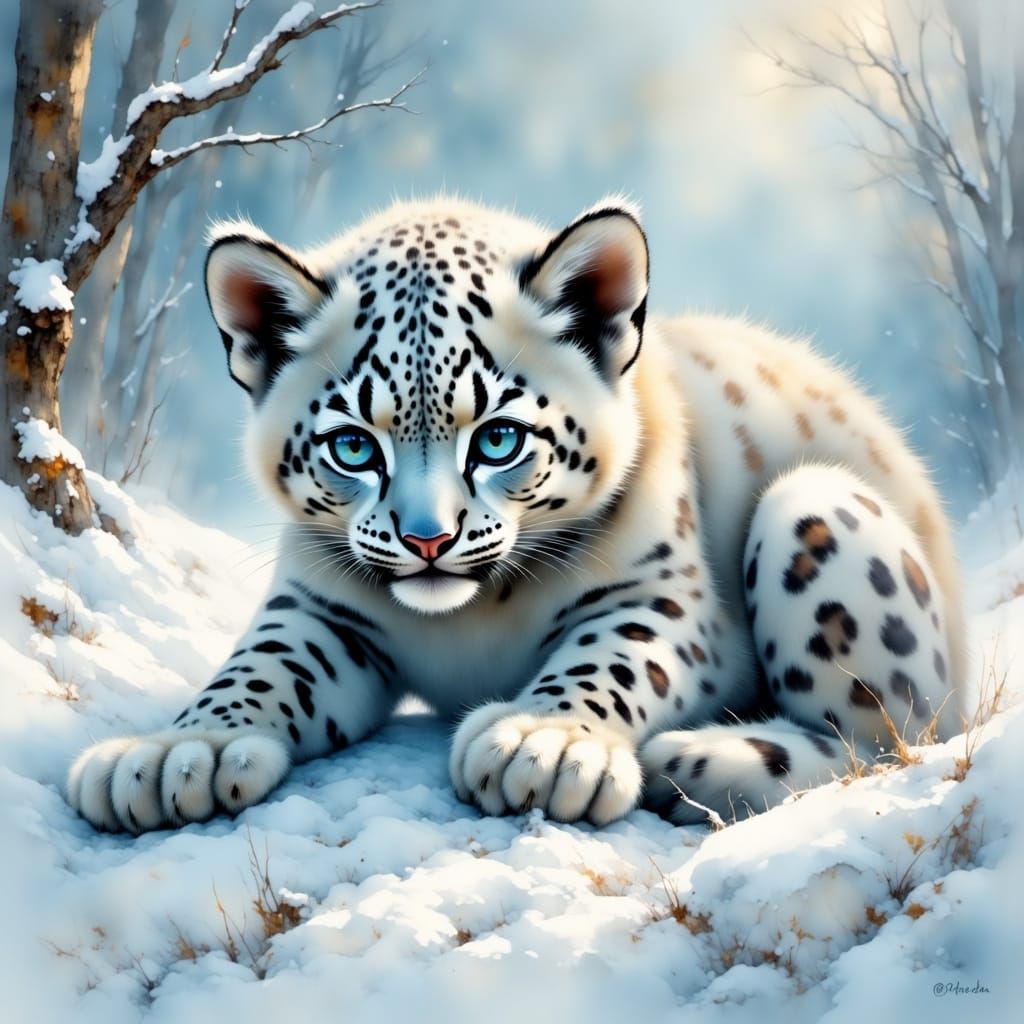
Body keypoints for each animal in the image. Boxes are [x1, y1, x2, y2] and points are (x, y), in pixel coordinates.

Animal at [68, 196, 966, 833]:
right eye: (354, 447)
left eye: (497, 438)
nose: (428, 540)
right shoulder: (321, 609)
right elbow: (258, 669)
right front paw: (178, 755)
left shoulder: (668, 600)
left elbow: (614, 658)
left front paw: (542, 742)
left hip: (814, 509)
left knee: (886, 738)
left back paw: (699, 761)